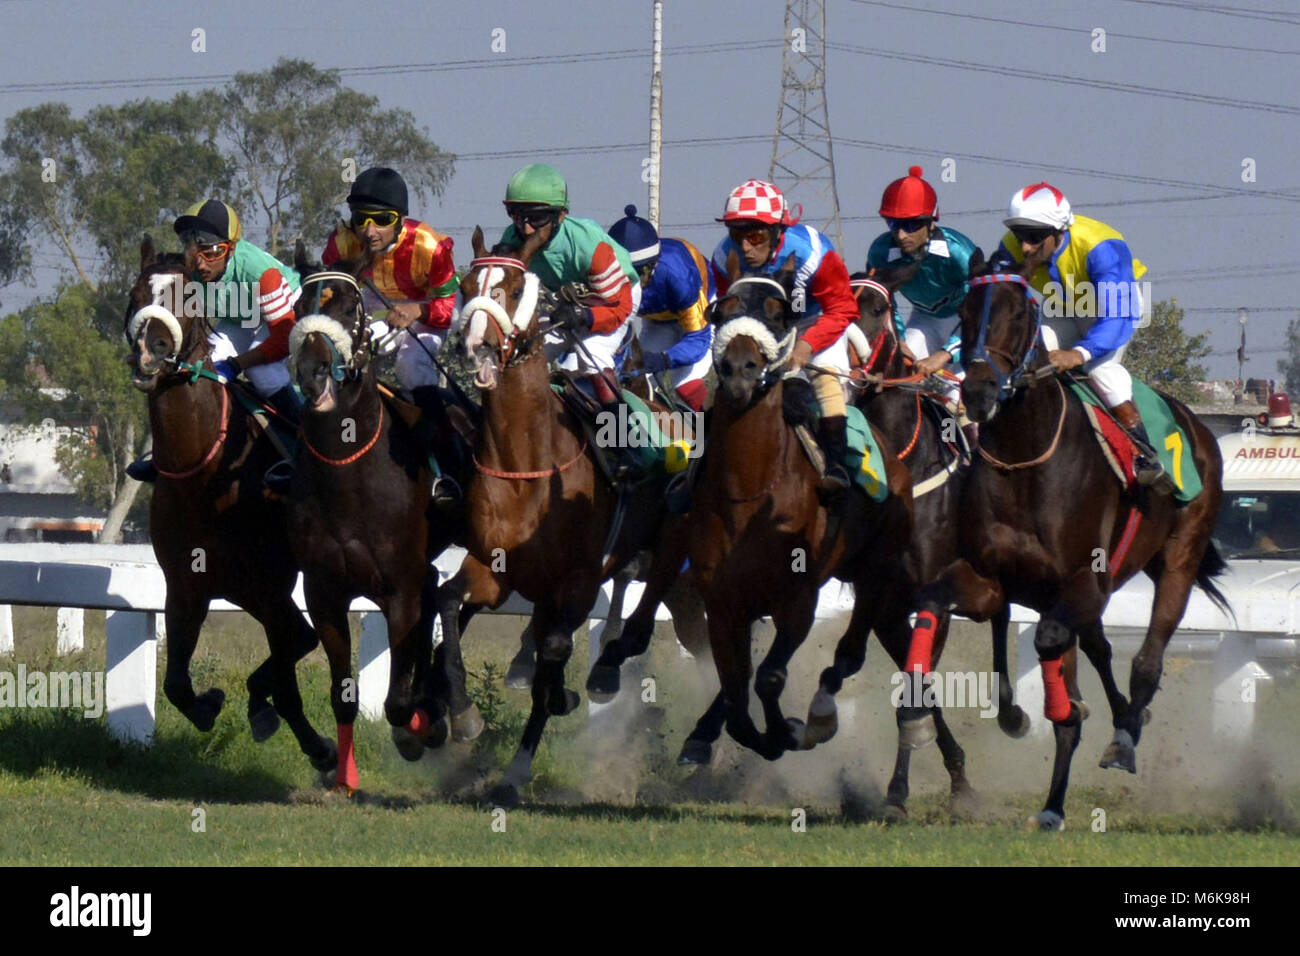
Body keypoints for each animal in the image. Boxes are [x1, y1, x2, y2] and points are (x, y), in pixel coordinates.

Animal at [124, 235, 334, 774]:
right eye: (136, 294)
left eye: (187, 296)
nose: (150, 352)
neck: (205, 472)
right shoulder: (186, 587)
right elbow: (176, 684)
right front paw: (210, 703)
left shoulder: (271, 588)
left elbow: (291, 675)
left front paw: (320, 747)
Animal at [285, 249, 481, 792]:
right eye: (299, 307)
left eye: (350, 306)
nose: (312, 372)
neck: (349, 474)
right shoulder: (324, 593)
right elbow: (343, 694)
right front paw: (342, 774)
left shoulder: (399, 589)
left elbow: (395, 701)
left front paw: (421, 727)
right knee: (439, 591)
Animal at [437, 226, 703, 808]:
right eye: (466, 287)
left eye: (515, 288)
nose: (477, 346)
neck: (526, 464)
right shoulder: (492, 567)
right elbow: (448, 603)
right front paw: (462, 714)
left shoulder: (578, 580)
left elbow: (556, 656)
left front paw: (525, 753)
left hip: (673, 558)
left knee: (657, 613)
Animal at [676, 256, 917, 766]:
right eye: (721, 309)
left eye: (778, 312)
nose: (739, 371)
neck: (748, 492)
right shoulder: (723, 603)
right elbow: (736, 694)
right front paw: (755, 734)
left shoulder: (799, 599)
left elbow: (769, 677)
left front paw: (788, 730)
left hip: (879, 566)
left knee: (852, 648)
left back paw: (823, 712)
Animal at [902, 254, 1228, 829]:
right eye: (964, 312)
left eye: (1019, 313)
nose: (978, 393)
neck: (1025, 460)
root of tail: (1195, 423)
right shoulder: (992, 581)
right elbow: (932, 602)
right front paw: (918, 714)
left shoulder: (1084, 582)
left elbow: (1056, 657)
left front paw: (1060, 713)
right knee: (1097, 649)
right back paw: (1065, 790)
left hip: (1179, 558)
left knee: (1146, 660)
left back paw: (1121, 739)